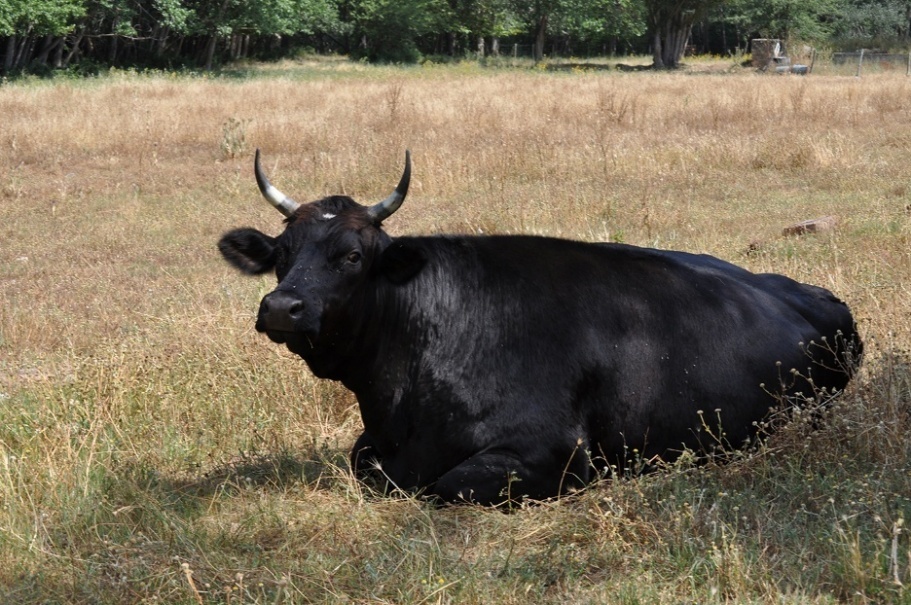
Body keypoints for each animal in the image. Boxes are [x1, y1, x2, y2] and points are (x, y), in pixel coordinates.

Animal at [218, 150, 862, 506]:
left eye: (352, 256)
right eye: (281, 254)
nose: (280, 307)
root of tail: (810, 294)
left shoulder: (549, 453)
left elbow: (441, 485)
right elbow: (362, 462)